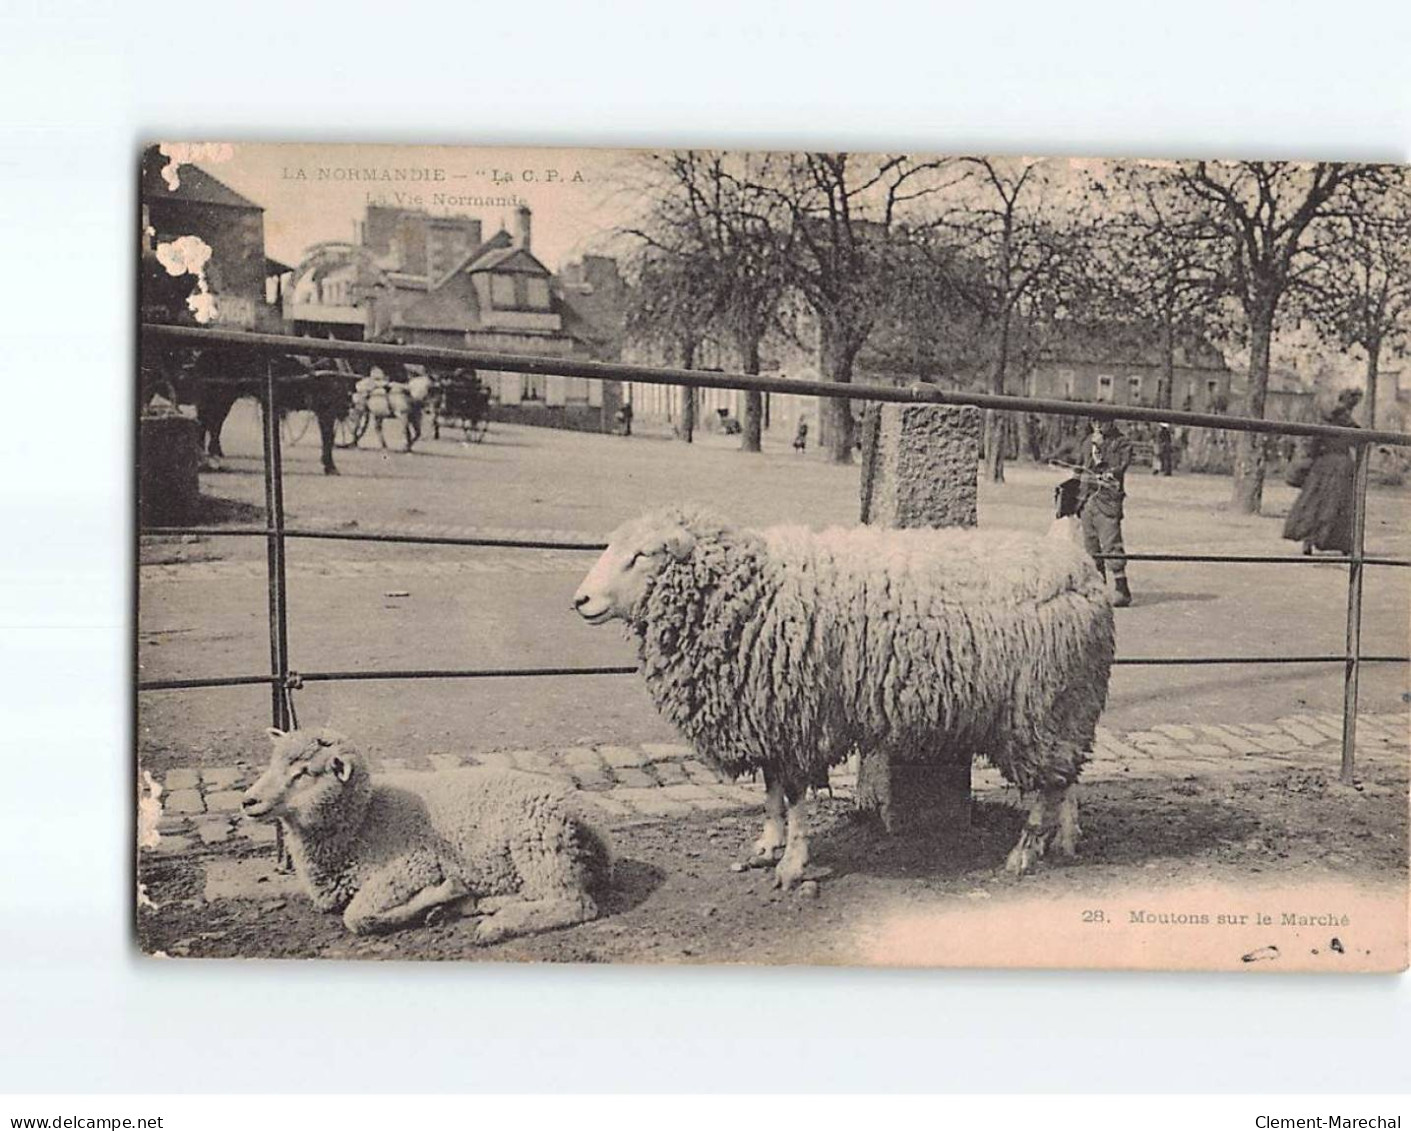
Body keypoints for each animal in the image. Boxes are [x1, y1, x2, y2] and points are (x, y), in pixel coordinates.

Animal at [238, 727, 612, 936]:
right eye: (273, 762)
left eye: (304, 772)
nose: (247, 800)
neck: (363, 820)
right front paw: (444, 902)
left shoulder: (413, 865)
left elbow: (356, 917)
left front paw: (441, 893)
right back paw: (479, 904)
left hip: (540, 841)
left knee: (574, 904)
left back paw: (495, 924)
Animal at [570, 507, 1111, 885]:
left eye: (642, 555)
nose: (580, 600)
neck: (749, 592)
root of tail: (1079, 562)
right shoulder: (769, 716)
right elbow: (771, 791)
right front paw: (767, 844)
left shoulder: (798, 716)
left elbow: (794, 796)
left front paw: (792, 863)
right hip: (1068, 703)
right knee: (1065, 778)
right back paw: (1065, 838)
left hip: (1040, 707)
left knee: (1047, 786)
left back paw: (1024, 852)